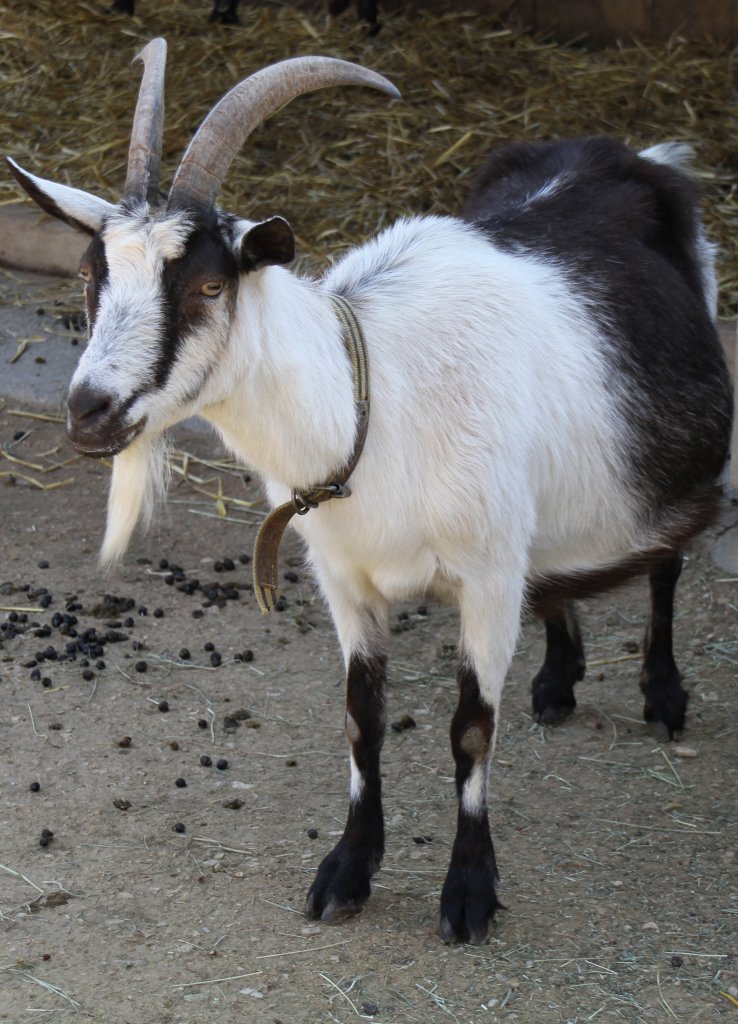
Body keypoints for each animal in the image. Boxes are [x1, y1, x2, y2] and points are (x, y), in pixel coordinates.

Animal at [5, 36, 732, 942]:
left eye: (209, 285)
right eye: (88, 276)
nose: (89, 411)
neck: (370, 396)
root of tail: (634, 153)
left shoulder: (487, 578)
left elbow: (470, 730)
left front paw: (468, 893)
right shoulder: (346, 580)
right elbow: (362, 718)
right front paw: (347, 870)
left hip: (672, 460)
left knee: (667, 558)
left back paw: (663, 695)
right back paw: (558, 681)